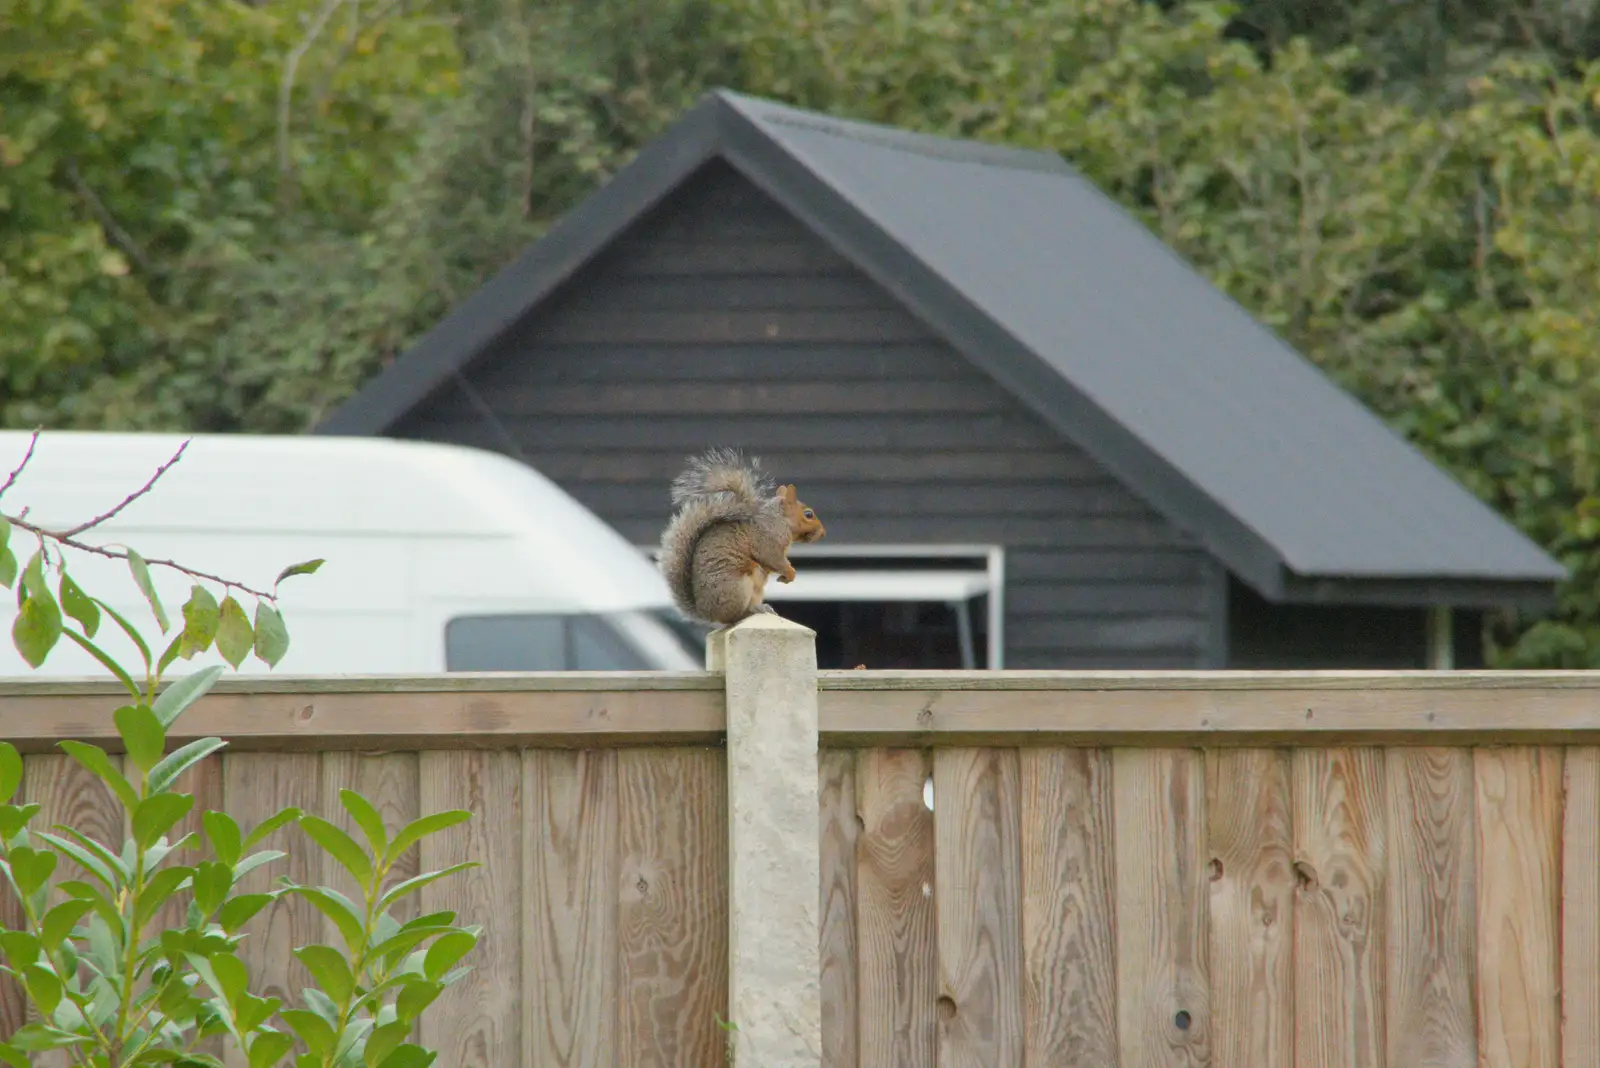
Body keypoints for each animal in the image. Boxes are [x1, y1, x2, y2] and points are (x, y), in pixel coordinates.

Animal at [656, 447, 825, 626]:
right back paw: (752, 610)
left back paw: (762, 607)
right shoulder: (767, 539)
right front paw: (790, 572)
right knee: (734, 617)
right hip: (738, 587)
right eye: (808, 514)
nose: (823, 532)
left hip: (756, 589)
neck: (780, 519)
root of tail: (707, 613)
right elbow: (773, 558)